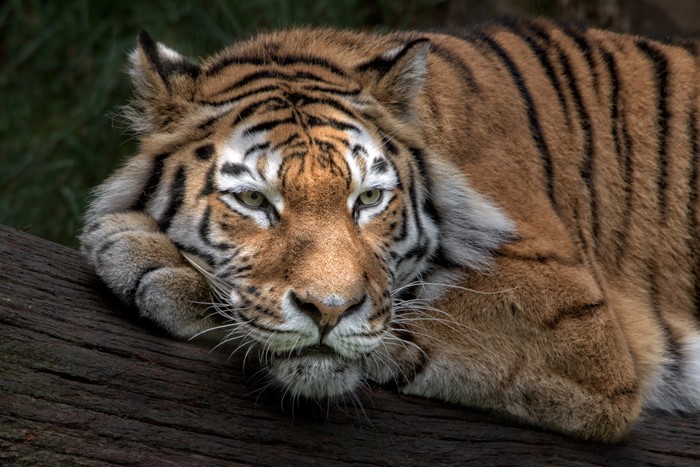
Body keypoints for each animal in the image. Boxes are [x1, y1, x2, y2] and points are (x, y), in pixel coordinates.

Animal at [79, 17, 700, 442]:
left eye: (369, 199)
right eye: (254, 200)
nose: (328, 311)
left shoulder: (578, 323)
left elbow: (420, 315)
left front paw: (143, 257)